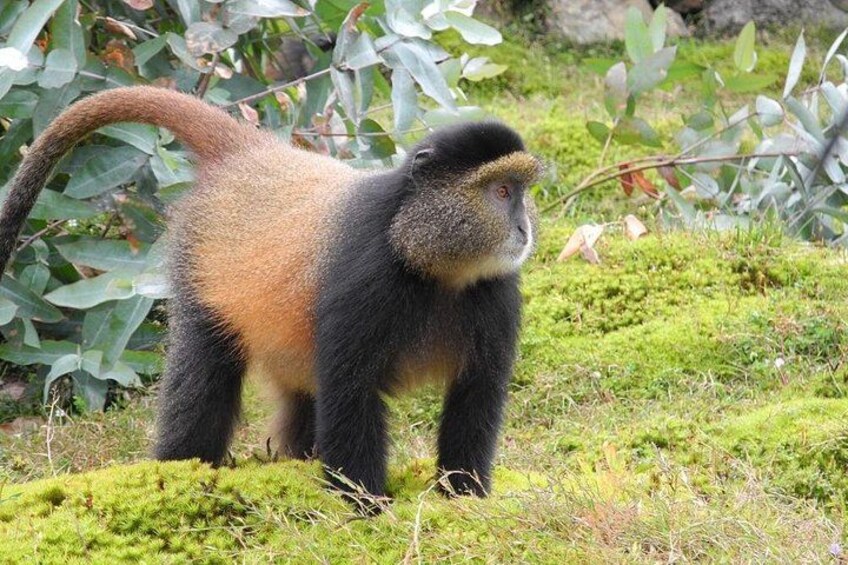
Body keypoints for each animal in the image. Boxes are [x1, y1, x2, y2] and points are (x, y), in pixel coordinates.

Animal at [0, 86, 541, 507]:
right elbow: (351, 391)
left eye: (520, 192)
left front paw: (463, 498)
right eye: (500, 192)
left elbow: (477, 391)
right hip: (200, 268)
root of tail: (251, 156)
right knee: (205, 375)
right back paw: (180, 471)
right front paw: (365, 507)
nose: (523, 227)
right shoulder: (365, 276)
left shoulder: (497, 293)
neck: (430, 264)